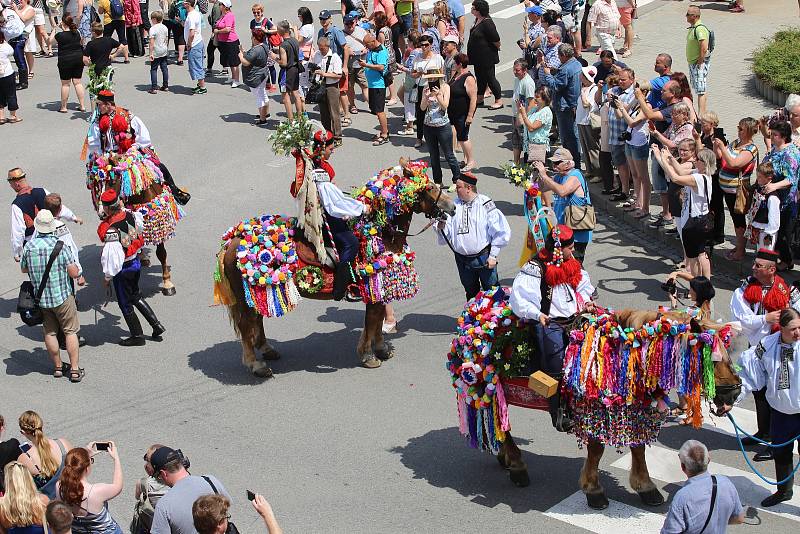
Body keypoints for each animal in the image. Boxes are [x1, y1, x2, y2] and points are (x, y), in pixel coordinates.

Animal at [85, 149, 184, 296]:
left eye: (112, 181)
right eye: (98, 184)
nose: (102, 213)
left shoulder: (155, 221)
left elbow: (161, 253)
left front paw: (167, 283)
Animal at [211, 161, 456, 378]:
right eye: (429, 188)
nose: (452, 207)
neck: (380, 232)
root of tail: (232, 241)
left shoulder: (379, 290)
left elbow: (376, 321)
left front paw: (381, 349)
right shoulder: (373, 288)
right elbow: (372, 321)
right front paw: (369, 355)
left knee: (257, 320)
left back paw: (267, 350)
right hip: (248, 296)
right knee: (246, 326)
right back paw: (257, 366)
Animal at [446, 292, 740, 512]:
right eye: (712, 360)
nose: (734, 394)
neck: (622, 351)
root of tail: (476, 309)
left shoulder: (633, 411)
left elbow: (638, 449)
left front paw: (646, 487)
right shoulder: (594, 410)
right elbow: (597, 450)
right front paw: (594, 490)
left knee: (498, 427)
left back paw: (504, 457)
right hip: (489, 386)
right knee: (502, 427)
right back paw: (517, 466)